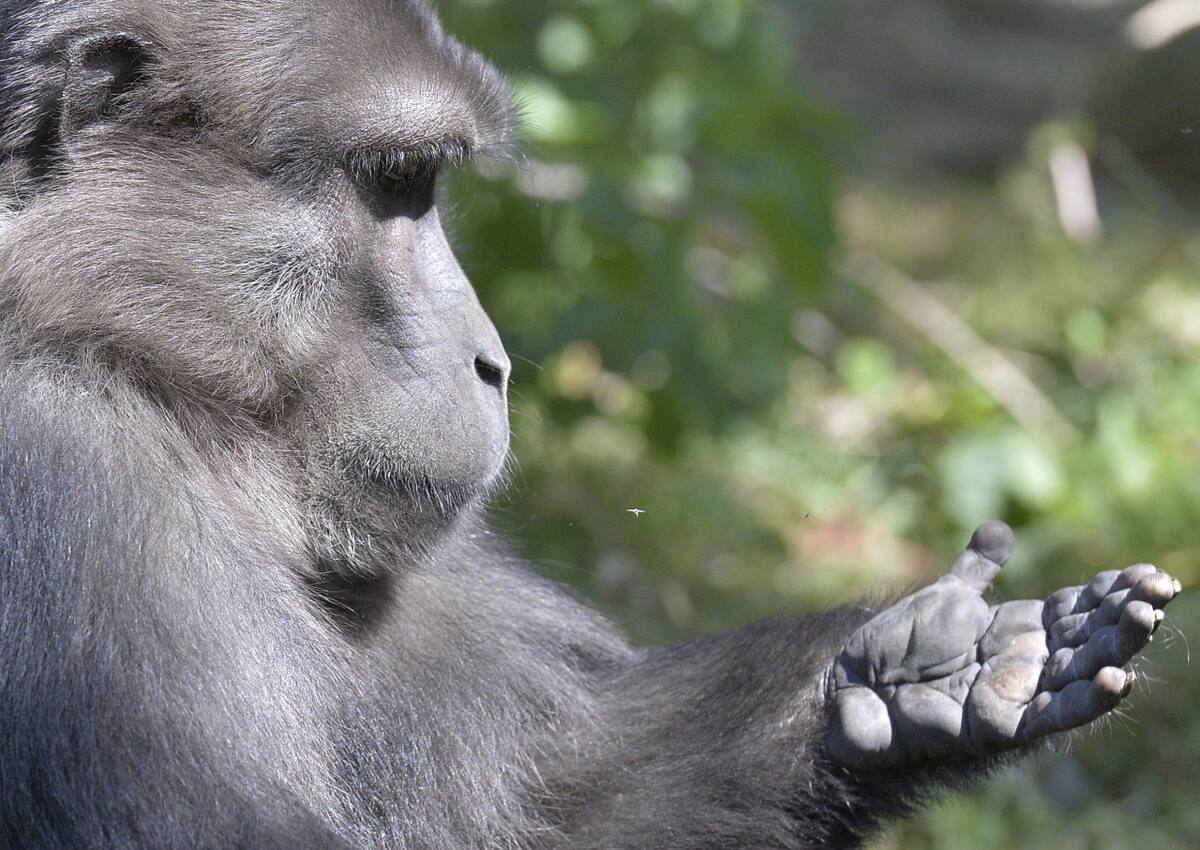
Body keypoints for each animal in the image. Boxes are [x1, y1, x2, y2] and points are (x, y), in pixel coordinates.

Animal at [0, 2, 1180, 849]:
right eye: (395, 183)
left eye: (426, 184)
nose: (493, 362)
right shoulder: (69, 478)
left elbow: (564, 799)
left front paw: (907, 678)